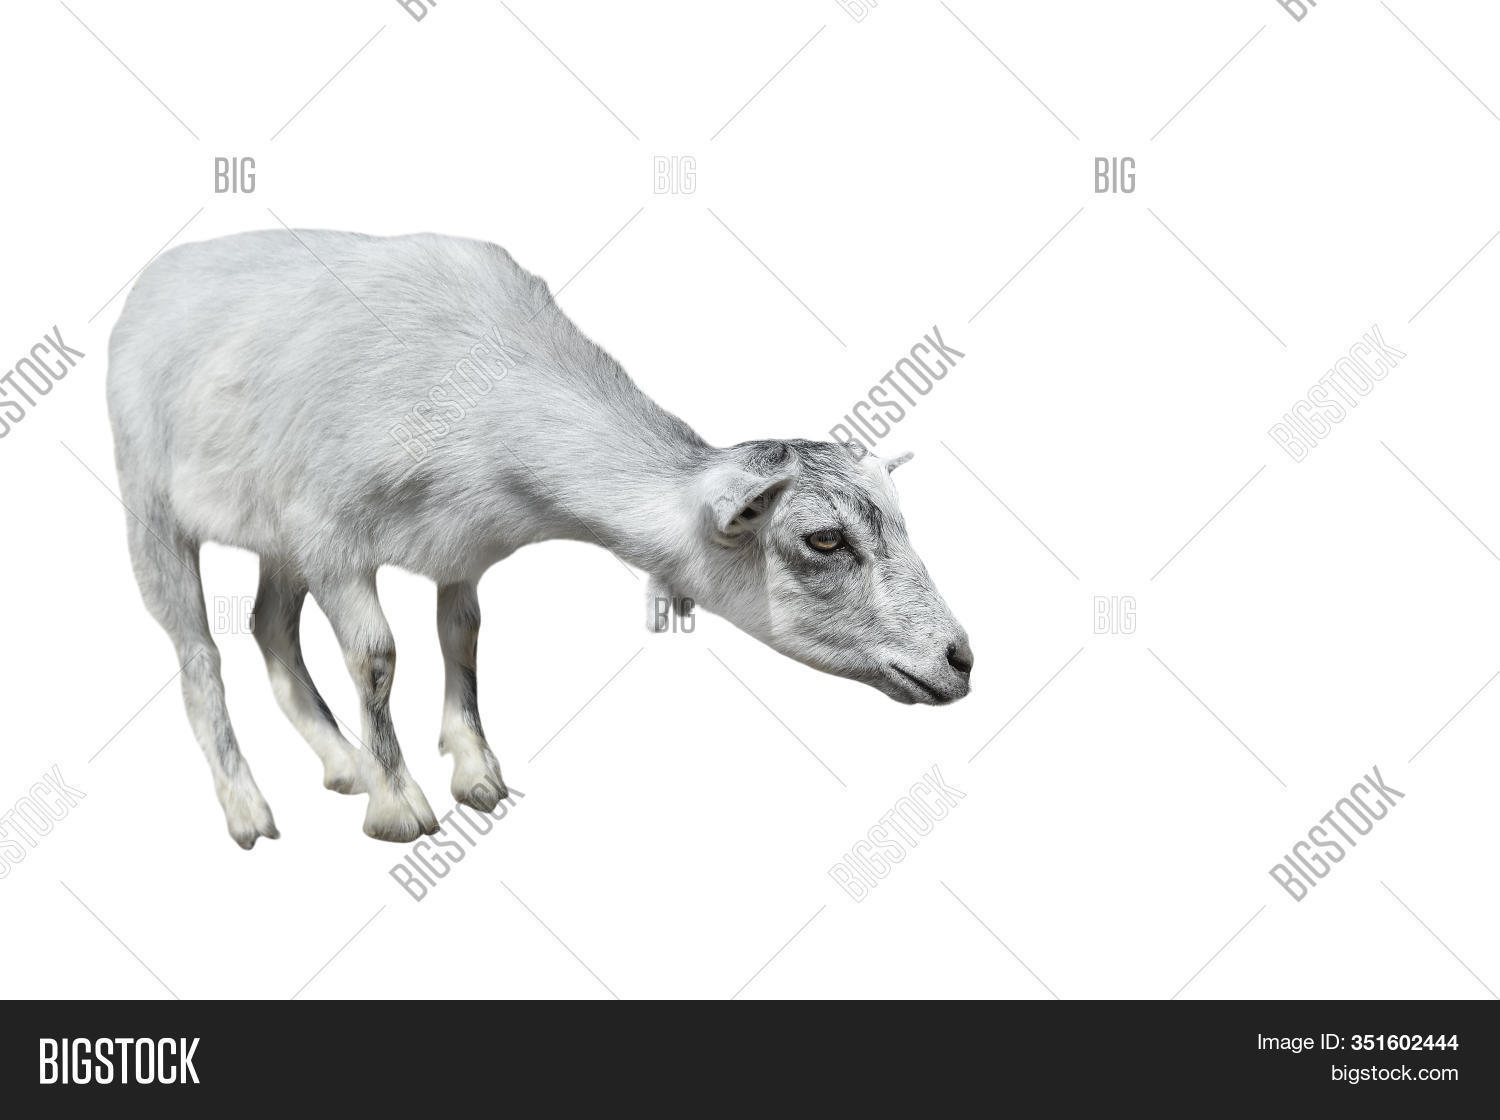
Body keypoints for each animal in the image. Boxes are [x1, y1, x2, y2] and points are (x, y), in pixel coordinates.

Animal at [106, 230, 973, 848]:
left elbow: (462, 639)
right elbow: (378, 659)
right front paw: (399, 806)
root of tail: (163, 271)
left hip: (272, 529)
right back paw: (248, 808)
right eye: (823, 540)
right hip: (151, 501)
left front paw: (475, 772)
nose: (960, 659)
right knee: (199, 653)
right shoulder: (331, 538)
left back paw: (341, 762)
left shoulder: (456, 548)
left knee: (269, 628)